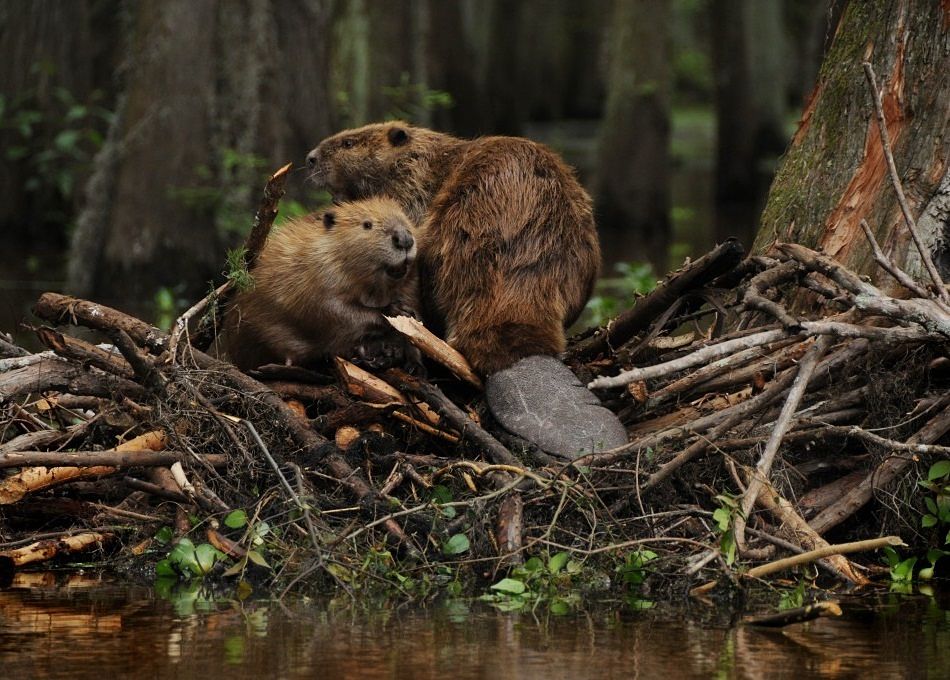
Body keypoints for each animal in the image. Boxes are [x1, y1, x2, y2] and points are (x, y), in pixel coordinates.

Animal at [223, 197, 420, 372]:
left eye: (405, 219)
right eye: (367, 224)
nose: (404, 239)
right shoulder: (317, 275)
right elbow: (332, 310)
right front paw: (395, 311)